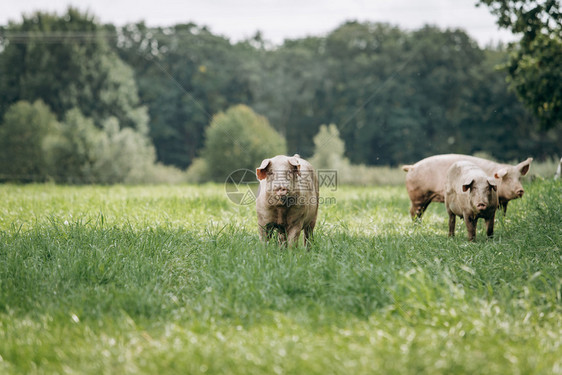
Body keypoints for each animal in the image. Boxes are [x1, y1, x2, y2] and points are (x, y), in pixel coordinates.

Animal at [400, 153, 528, 219]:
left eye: (519, 178)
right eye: (508, 178)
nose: (521, 190)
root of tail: (411, 167)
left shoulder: (503, 202)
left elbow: (503, 212)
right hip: (417, 196)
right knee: (413, 211)